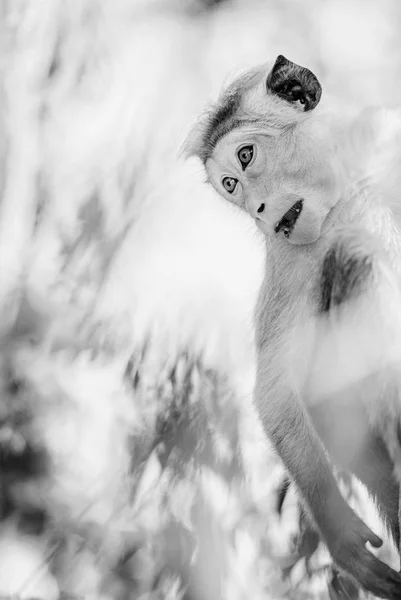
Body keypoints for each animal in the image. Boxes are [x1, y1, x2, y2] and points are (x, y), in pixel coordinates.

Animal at [185, 54, 401, 596]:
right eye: (232, 188)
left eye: (245, 157)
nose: (260, 212)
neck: (348, 188)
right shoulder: (291, 258)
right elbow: (279, 392)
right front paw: (339, 533)